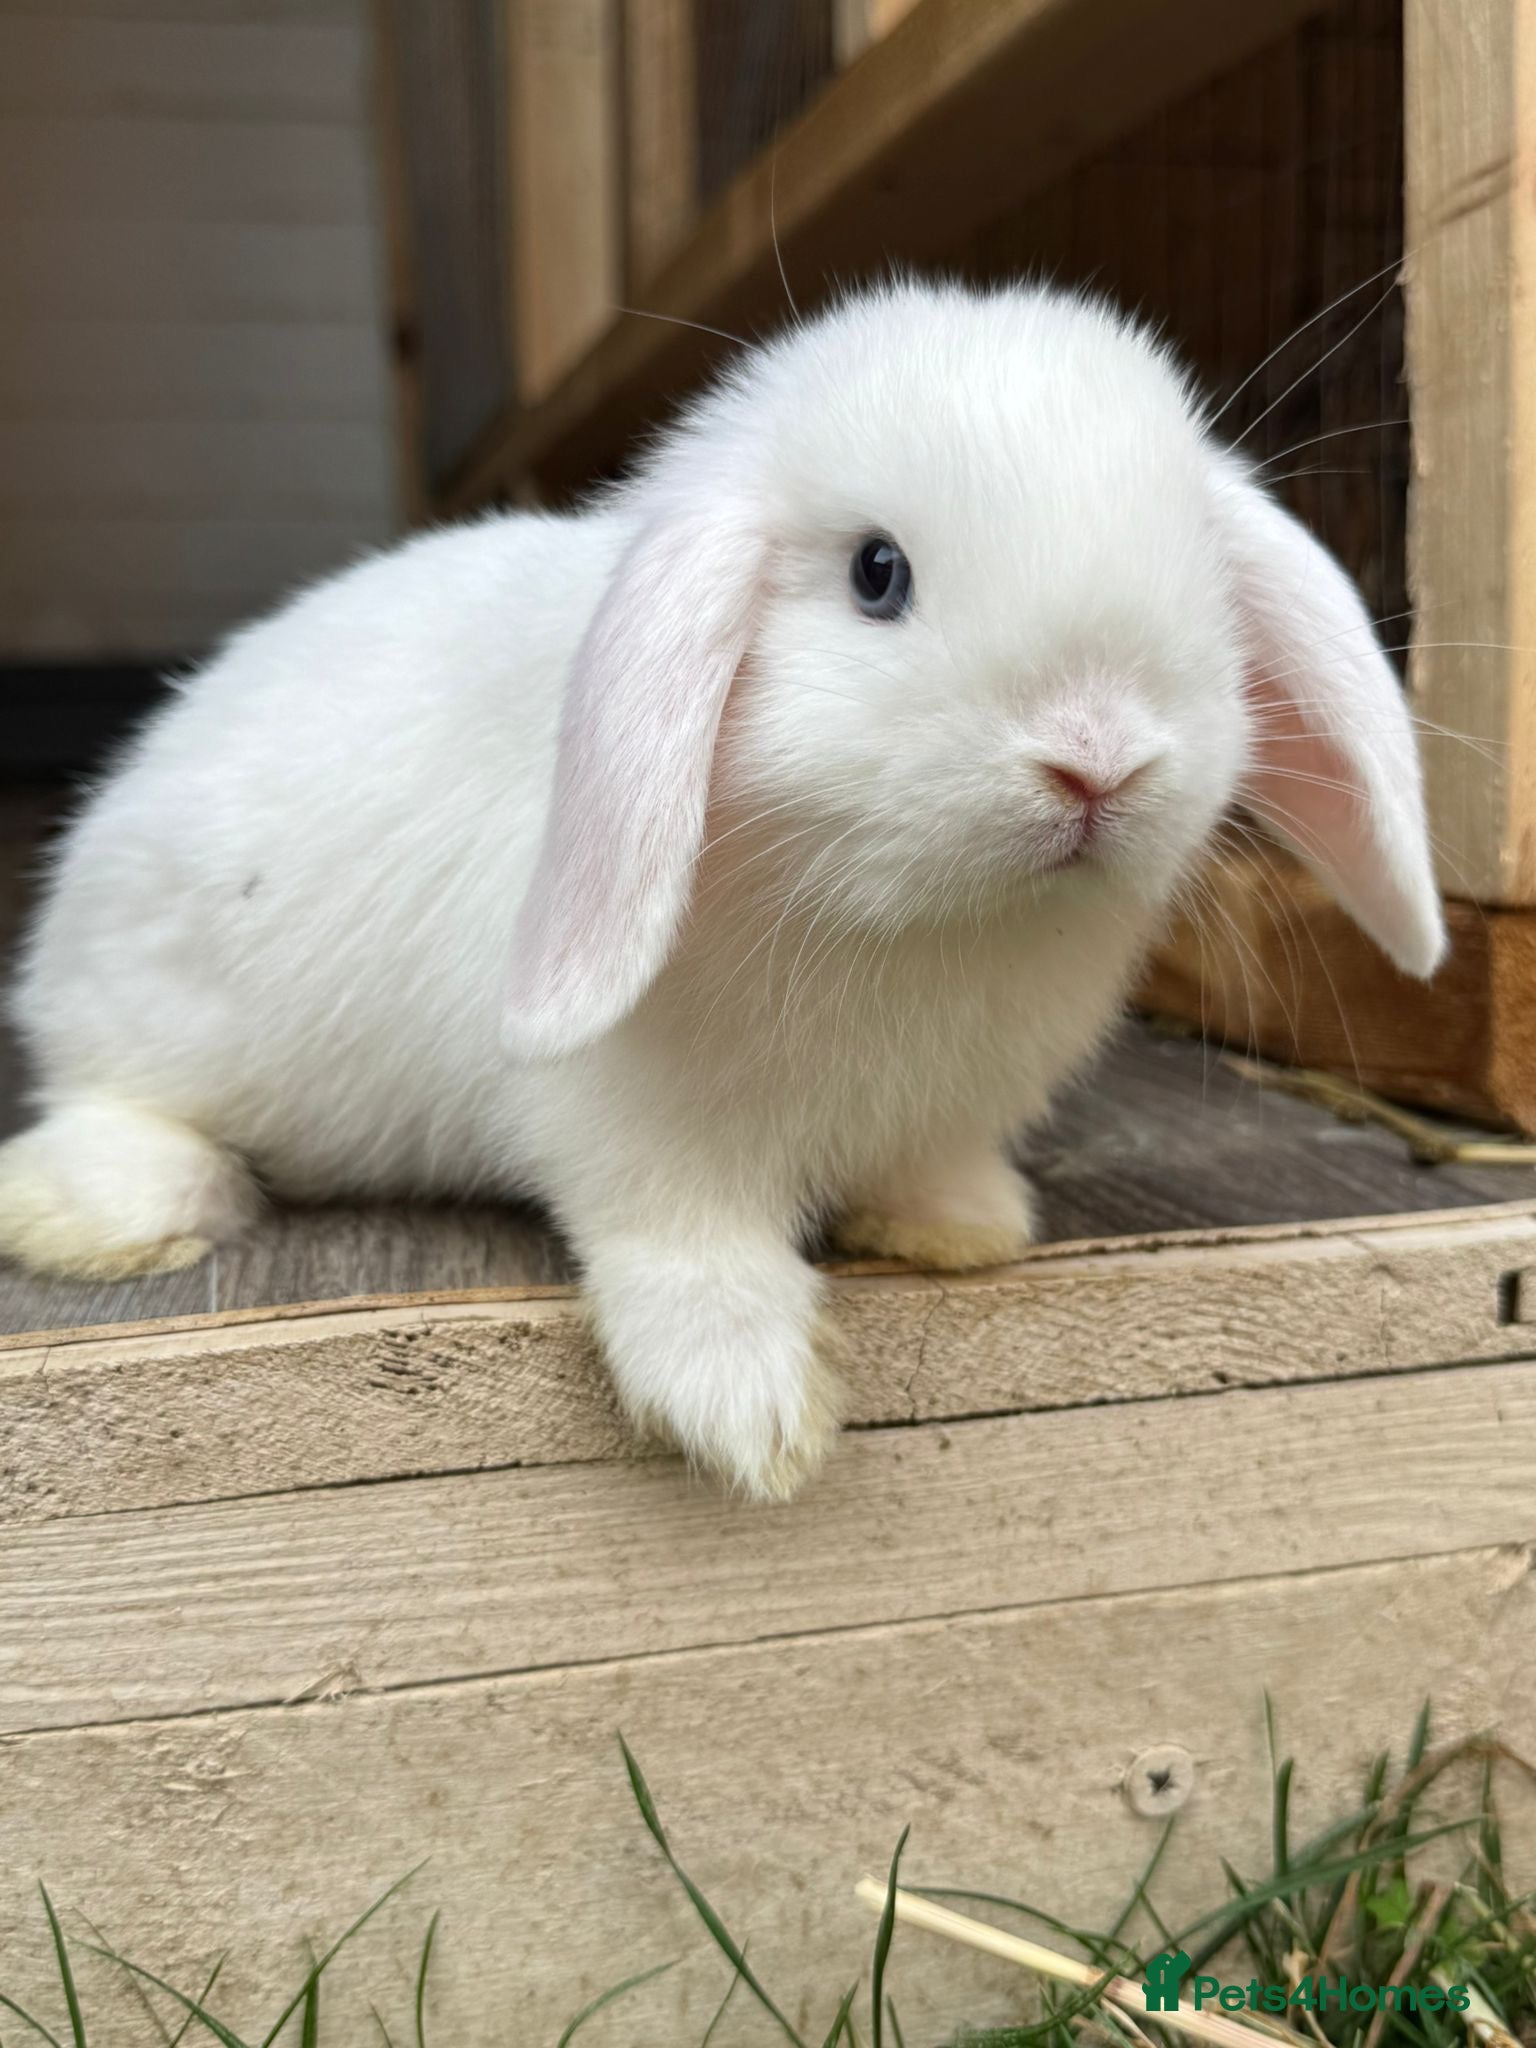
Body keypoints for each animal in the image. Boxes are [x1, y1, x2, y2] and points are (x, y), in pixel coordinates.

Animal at [0, 279, 1444, 1498]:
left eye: (1201, 570)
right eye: (877, 573)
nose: (1097, 756)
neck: (926, 919)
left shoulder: (938, 1109)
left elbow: (928, 1171)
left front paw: (959, 1228)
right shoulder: (636, 1129)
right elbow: (683, 1245)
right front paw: (751, 1412)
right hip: (147, 1020)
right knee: (113, 1110)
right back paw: (102, 1220)